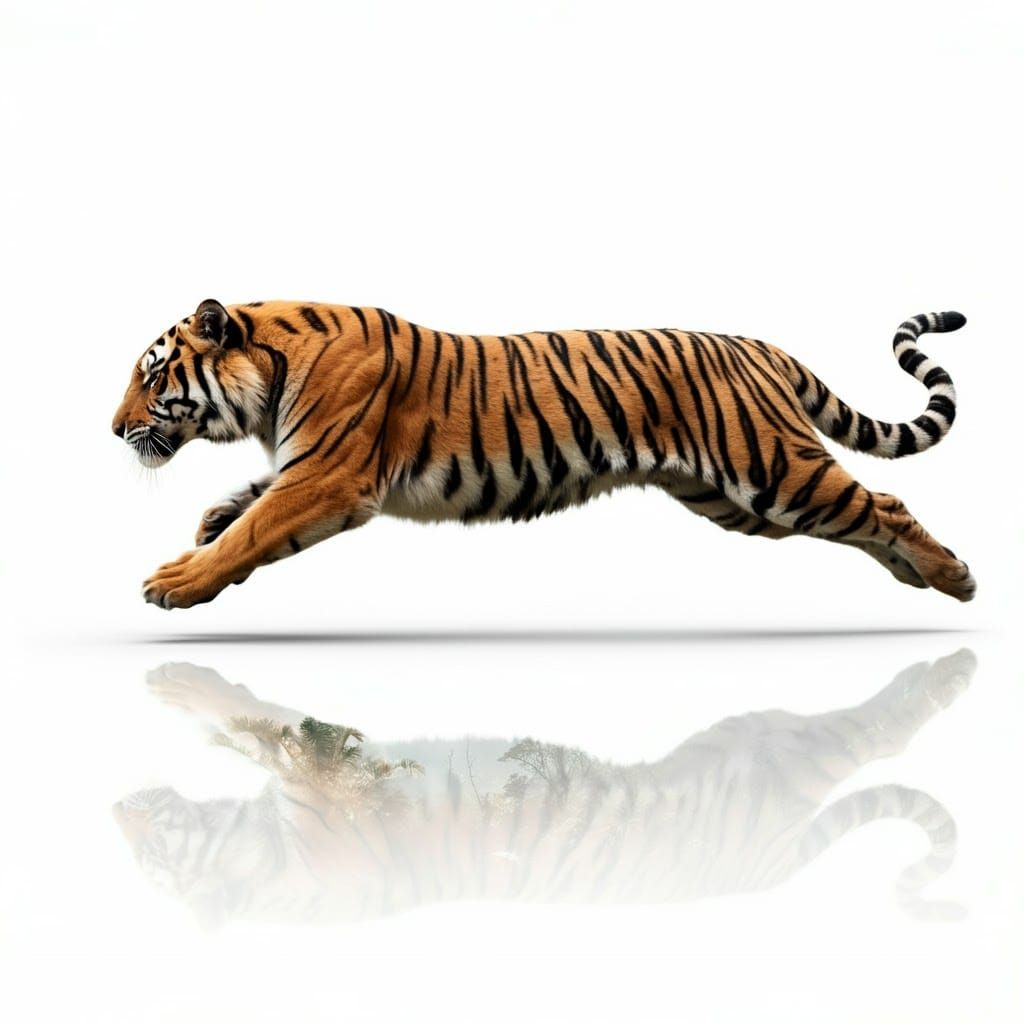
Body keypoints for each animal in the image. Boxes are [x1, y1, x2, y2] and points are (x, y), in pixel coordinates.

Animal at [111, 299, 976, 608]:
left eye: (151, 375)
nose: (114, 429)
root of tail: (759, 344)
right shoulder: (307, 467)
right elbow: (249, 504)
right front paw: (210, 522)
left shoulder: (330, 476)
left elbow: (259, 528)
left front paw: (175, 581)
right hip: (734, 499)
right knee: (865, 520)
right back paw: (915, 575)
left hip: (774, 469)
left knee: (884, 502)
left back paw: (954, 578)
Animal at [115, 650, 976, 927]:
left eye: (154, 850)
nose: (116, 808)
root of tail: (776, 865)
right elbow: (261, 729)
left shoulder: (313, 781)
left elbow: (254, 724)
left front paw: (178, 685)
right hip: (762, 744)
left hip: (765, 744)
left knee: (876, 733)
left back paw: (948, 670)